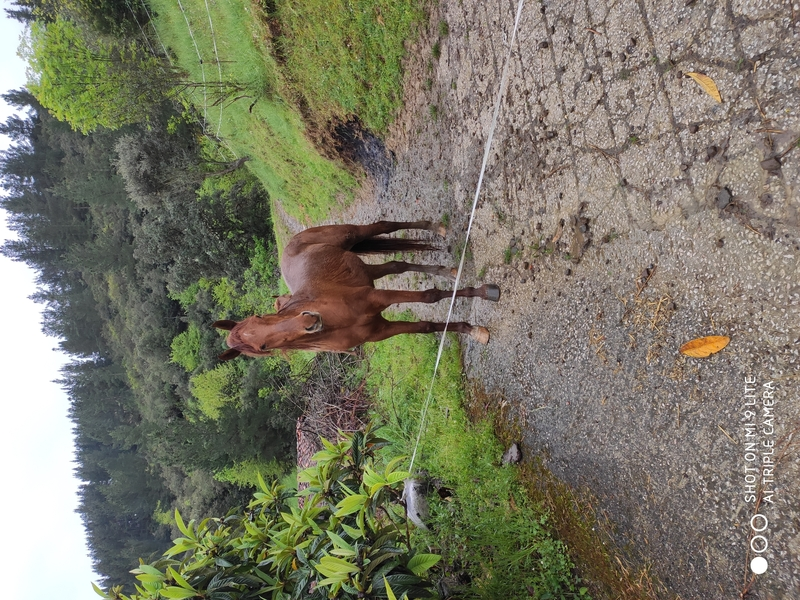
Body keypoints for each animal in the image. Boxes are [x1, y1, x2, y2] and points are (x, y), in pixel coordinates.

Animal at [212, 220, 500, 359]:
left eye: (260, 317)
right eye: (263, 346)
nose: (309, 321)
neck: (337, 322)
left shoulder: (376, 296)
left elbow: (430, 297)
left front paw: (484, 293)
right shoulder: (382, 330)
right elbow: (426, 326)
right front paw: (472, 330)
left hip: (350, 235)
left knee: (384, 225)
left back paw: (435, 227)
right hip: (366, 272)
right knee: (397, 265)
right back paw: (447, 271)